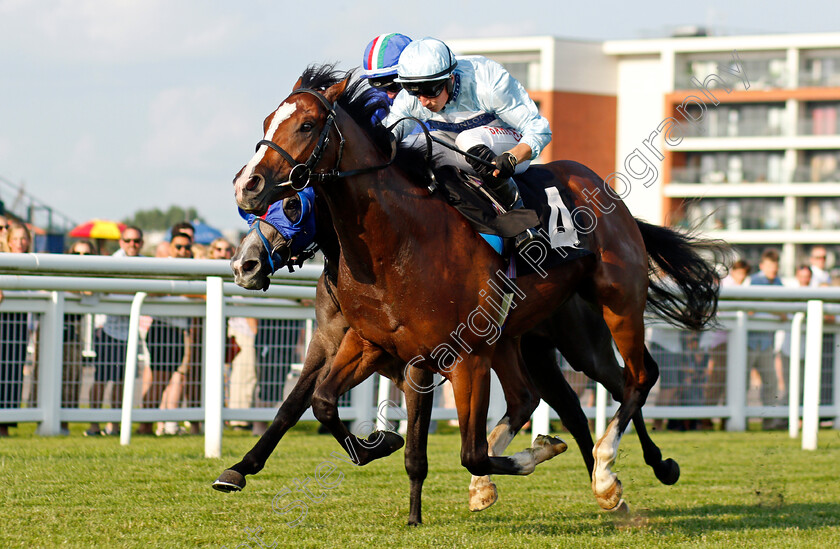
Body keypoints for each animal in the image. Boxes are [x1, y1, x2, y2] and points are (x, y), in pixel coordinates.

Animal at [231, 67, 720, 510]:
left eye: (307, 125)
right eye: (266, 123)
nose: (246, 186)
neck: (398, 242)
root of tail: (606, 193)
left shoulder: (460, 357)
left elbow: (471, 453)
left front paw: (538, 451)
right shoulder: (369, 343)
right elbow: (319, 402)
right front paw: (377, 445)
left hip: (611, 310)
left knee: (636, 379)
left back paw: (610, 474)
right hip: (526, 339)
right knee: (546, 397)